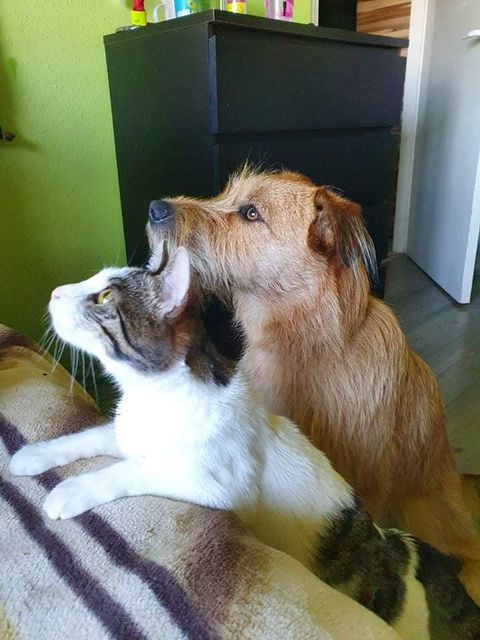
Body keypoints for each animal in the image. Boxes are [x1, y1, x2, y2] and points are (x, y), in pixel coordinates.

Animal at [9, 248, 480, 640]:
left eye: (105, 296)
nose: (54, 291)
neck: (152, 396)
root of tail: (401, 551)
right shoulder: (124, 432)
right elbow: (87, 436)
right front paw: (33, 454)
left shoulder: (214, 483)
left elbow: (131, 468)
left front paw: (70, 489)